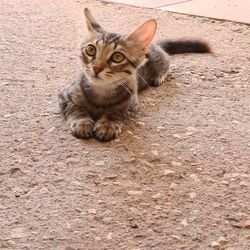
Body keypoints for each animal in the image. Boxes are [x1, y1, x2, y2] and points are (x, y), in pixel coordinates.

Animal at [58, 8, 211, 141]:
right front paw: (82, 122)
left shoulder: (132, 104)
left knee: (167, 63)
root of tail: (153, 44)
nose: (96, 68)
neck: (102, 92)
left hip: (161, 61)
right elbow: (75, 107)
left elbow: (117, 112)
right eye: (91, 50)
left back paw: (158, 77)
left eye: (117, 57)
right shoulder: (64, 95)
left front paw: (108, 124)